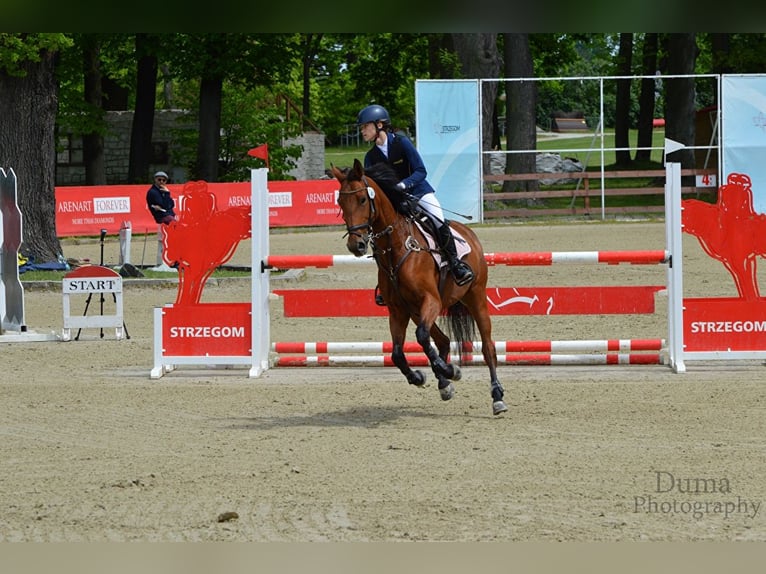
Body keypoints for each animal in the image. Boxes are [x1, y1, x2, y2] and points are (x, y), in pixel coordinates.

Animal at [332, 160, 508, 416]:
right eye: (340, 202)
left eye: (363, 199)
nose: (357, 245)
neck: (396, 248)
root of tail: (468, 232)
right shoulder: (398, 310)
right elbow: (397, 353)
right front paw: (421, 377)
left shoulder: (431, 300)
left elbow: (422, 337)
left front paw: (450, 371)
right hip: (417, 311)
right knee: (442, 340)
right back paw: (444, 383)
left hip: (475, 297)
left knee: (488, 348)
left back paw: (496, 396)